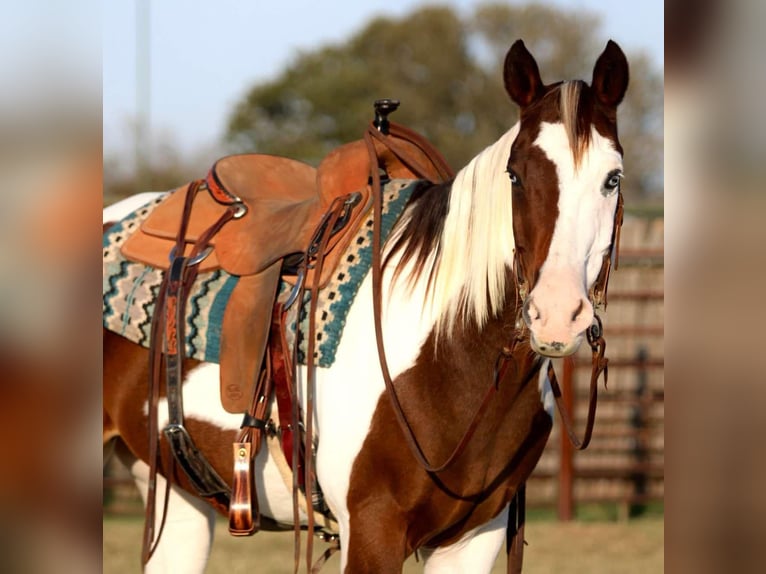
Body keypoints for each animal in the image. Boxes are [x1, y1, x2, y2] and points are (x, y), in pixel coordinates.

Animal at [103, 38, 628, 573]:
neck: (453, 359)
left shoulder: (476, 535)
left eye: (613, 179)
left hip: (176, 496)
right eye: (515, 175)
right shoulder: (373, 528)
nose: (557, 314)